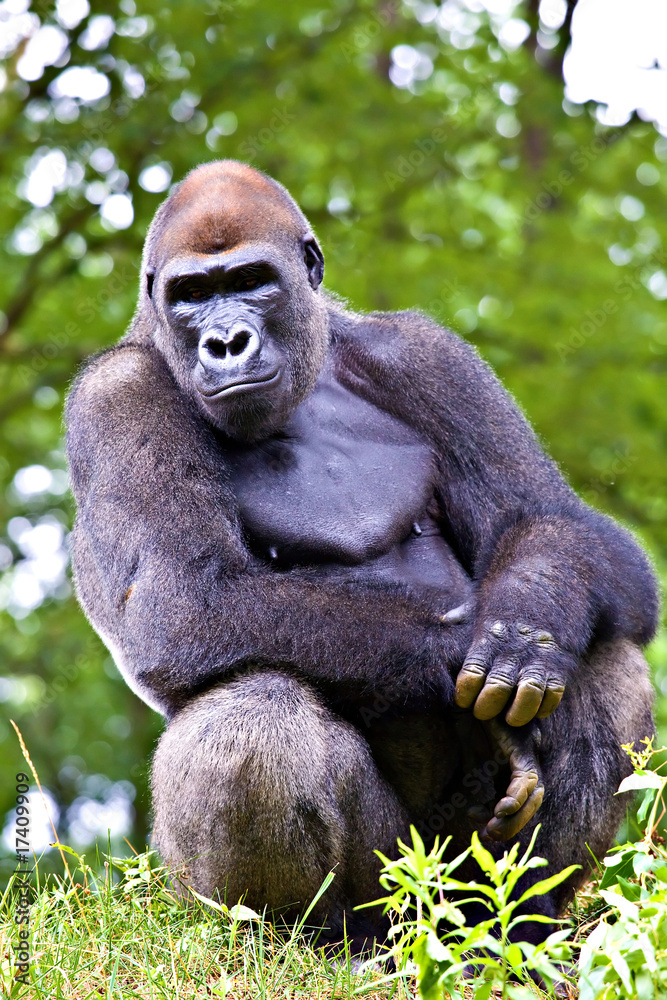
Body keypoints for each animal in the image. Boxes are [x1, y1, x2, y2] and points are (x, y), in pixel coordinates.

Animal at [64, 158, 656, 944]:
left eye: (251, 279)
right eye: (191, 295)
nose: (225, 342)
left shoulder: (428, 356)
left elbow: (555, 523)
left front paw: (528, 623)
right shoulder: (114, 397)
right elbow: (186, 600)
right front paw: (461, 650)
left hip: (459, 882)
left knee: (604, 654)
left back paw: (523, 926)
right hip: (375, 885)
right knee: (252, 717)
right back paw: (308, 938)